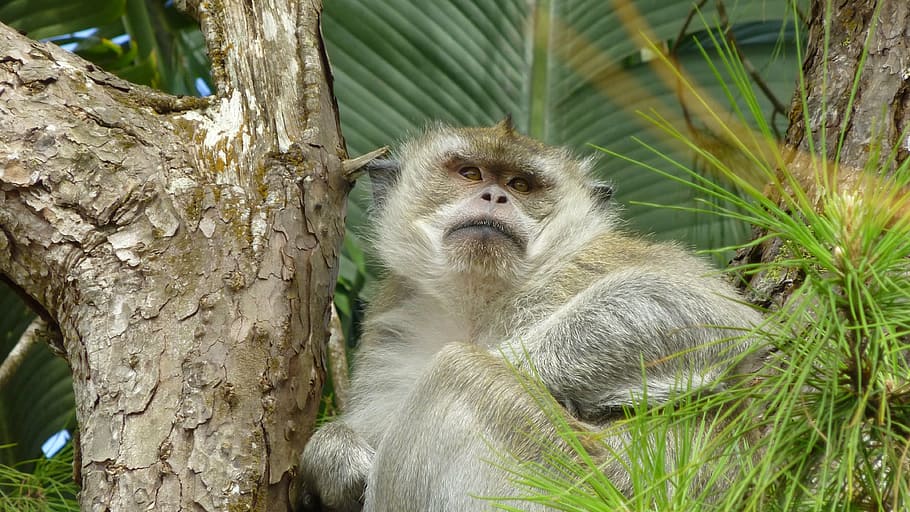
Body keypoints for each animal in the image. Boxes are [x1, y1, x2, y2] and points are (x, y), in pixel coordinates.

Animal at [296, 120, 764, 512]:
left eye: (521, 184)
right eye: (470, 173)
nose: (495, 196)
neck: (479, 301)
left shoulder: (586, 260)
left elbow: (704, 313)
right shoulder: (397, 315)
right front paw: (335, 455)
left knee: (455, 371)